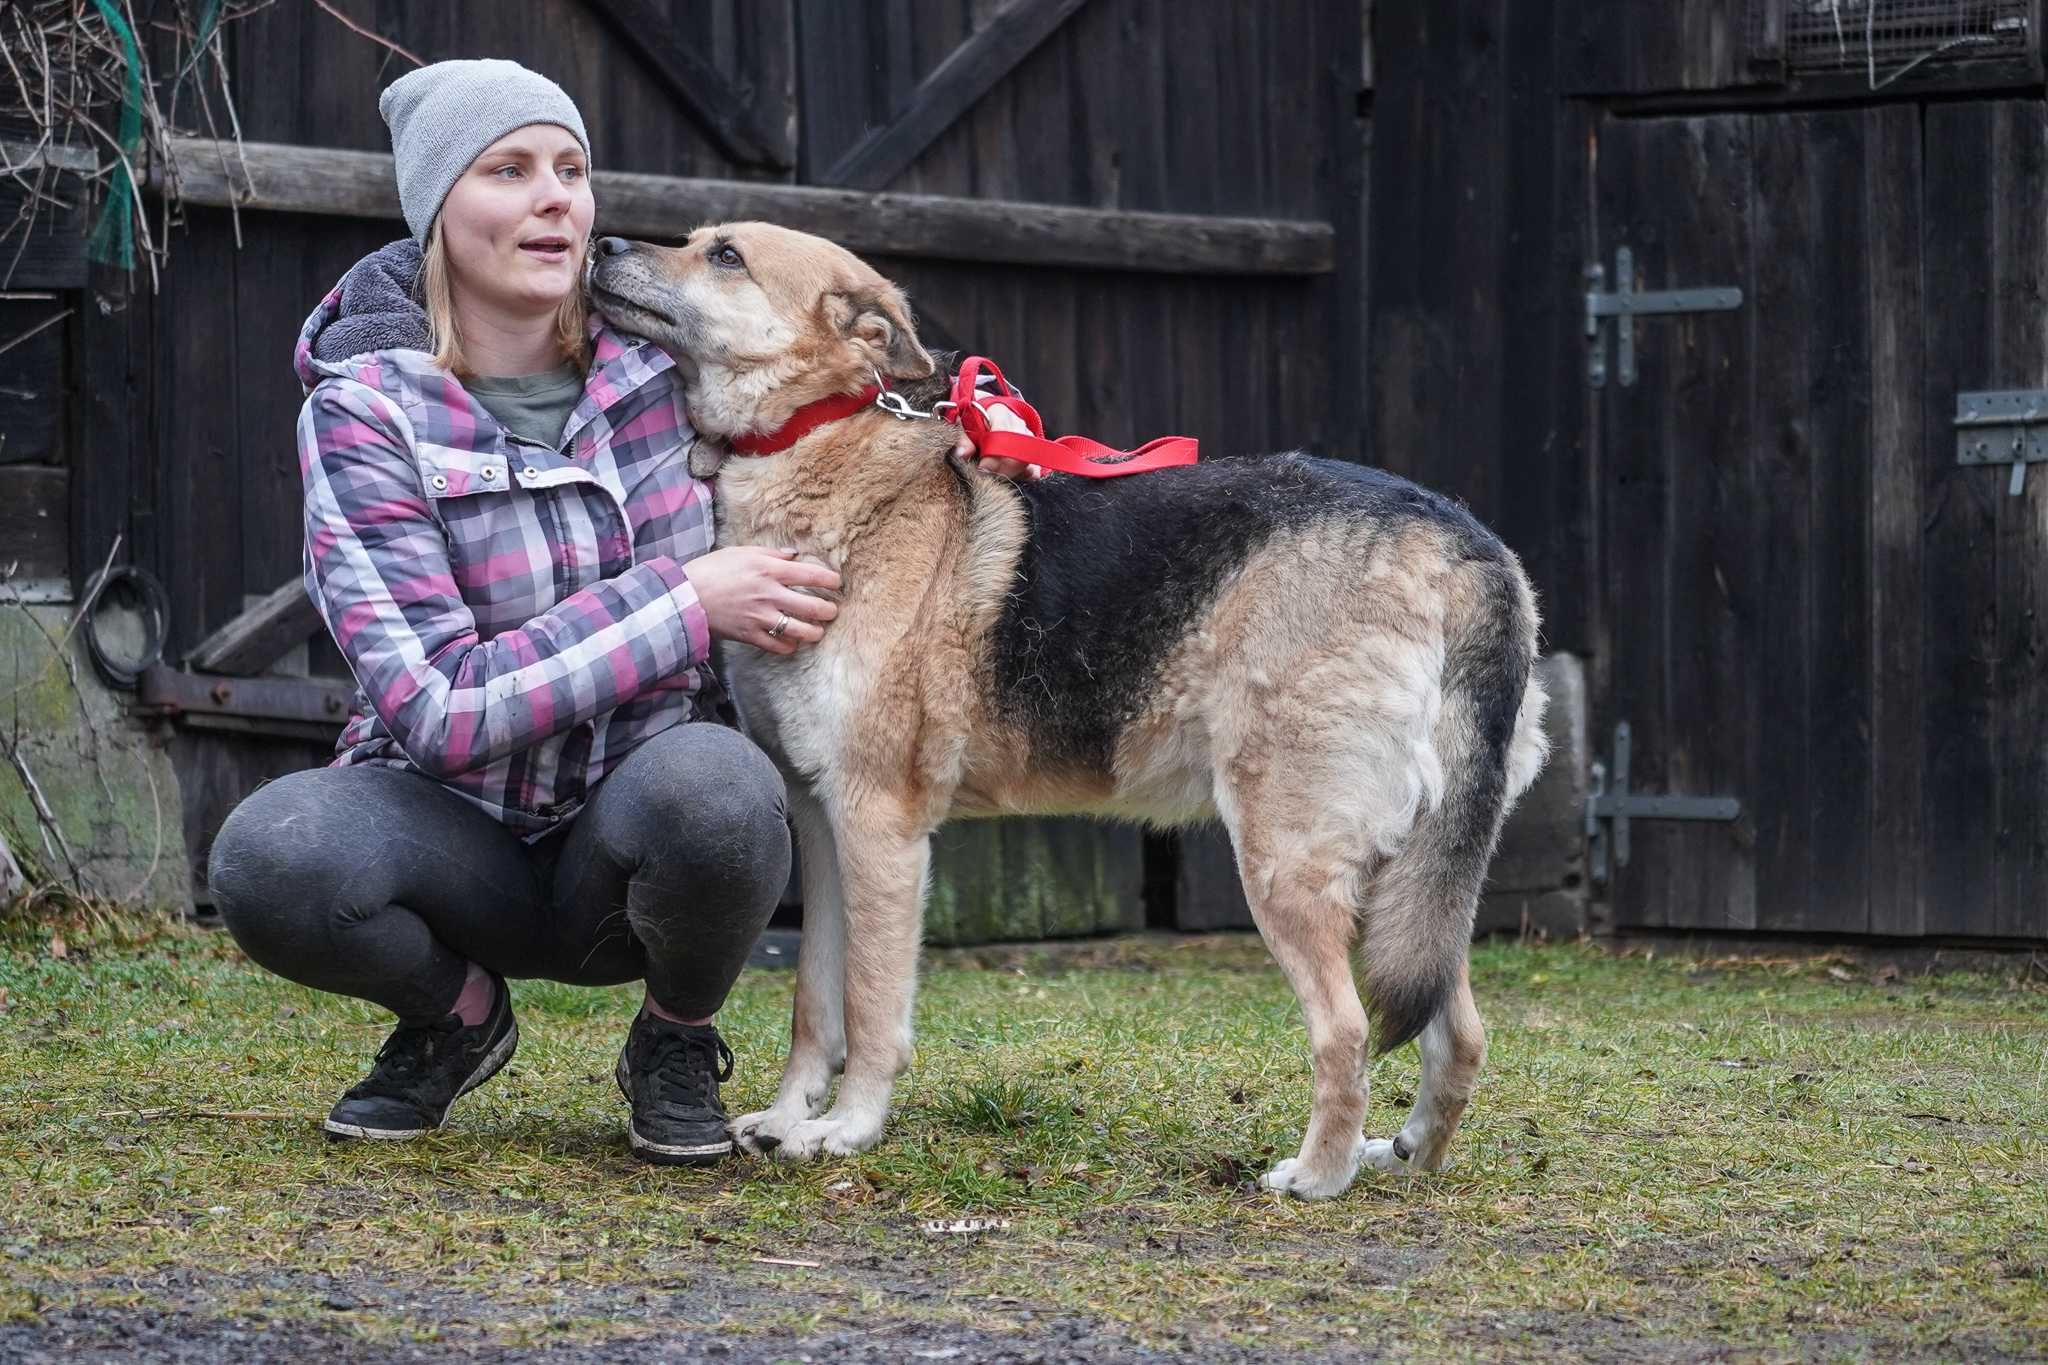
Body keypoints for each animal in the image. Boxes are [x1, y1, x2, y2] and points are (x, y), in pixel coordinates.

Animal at [585, 222, 1540, 1195]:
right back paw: (1409, 1156)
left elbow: (871, 1005)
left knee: (1346, 1029)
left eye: (725, 256)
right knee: (1457, 1026)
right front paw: (788, 1118)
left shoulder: (879, 824)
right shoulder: (819, 822)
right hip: (1409, 873)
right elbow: (815, 1001)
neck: (819, 447)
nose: (604, 243)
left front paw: (850, 1129)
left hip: (1286, 858)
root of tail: (1463, 542)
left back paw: (1317, 1174)